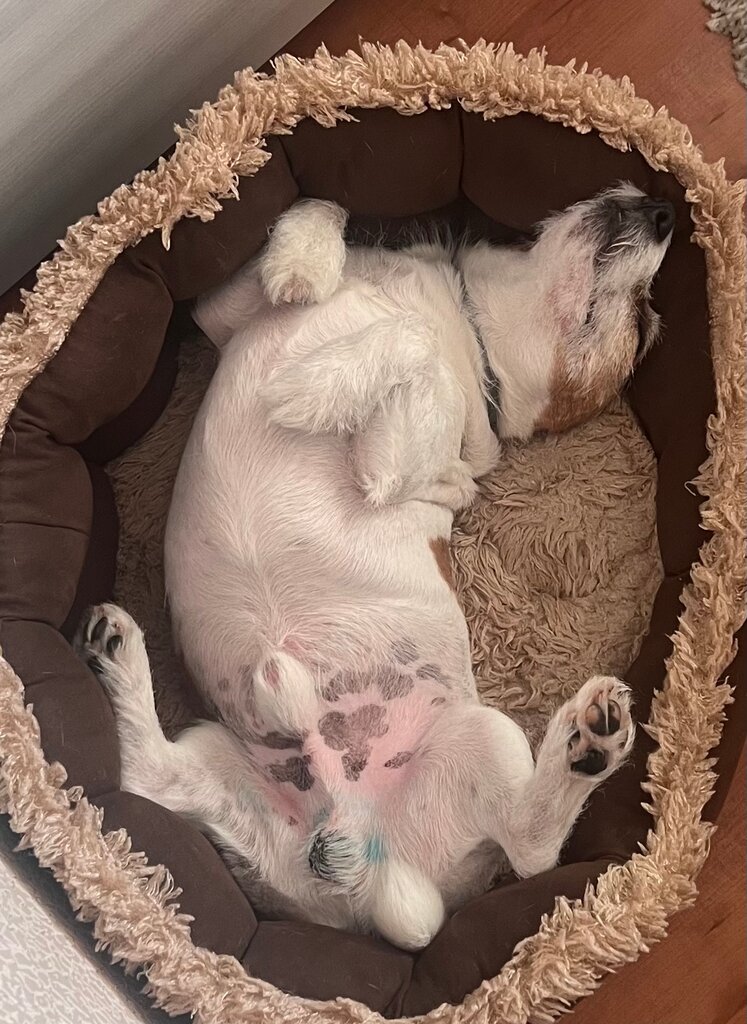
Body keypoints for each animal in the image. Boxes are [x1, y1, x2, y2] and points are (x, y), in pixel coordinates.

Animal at [77, 183, 674, 950]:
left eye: (644, 321)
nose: (660, 208)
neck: (467, 320)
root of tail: (366, 871)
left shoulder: (391, 466)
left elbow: (409, 346)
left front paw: (312, 388)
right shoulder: (221, 308)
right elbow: (321, 210)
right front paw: (301, 264)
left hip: (481, 740)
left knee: (532, 846)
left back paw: (588, 742)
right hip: (218, 761)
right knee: (147, 777)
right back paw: (116, 654)